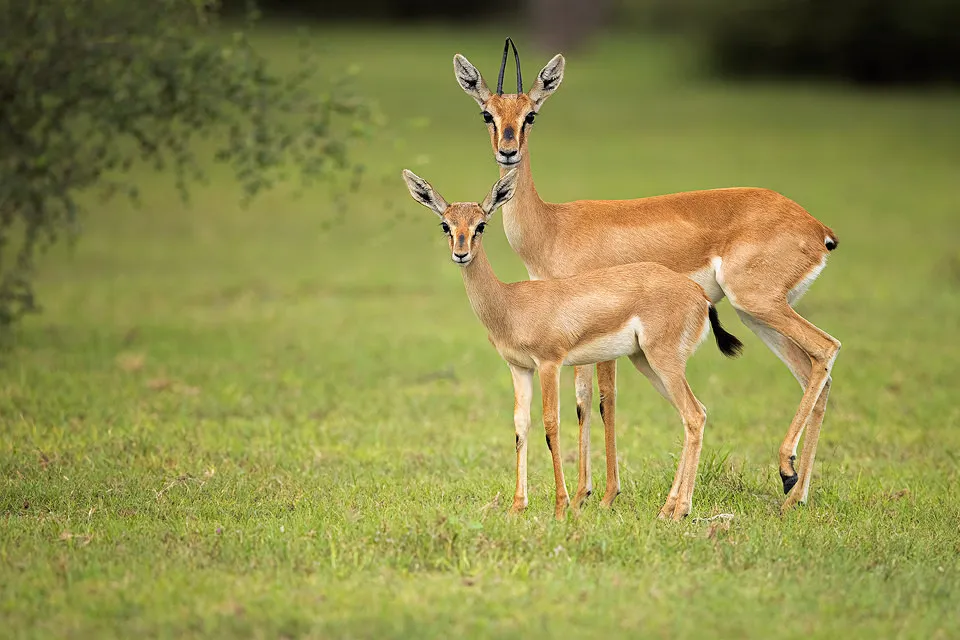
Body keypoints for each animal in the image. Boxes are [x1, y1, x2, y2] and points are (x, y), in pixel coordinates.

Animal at [402, 167, 744, 520]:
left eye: (480, 225)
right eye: (446, 224)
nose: (461, 253)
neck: (511, 302)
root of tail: (698, 295)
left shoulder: (549, 364)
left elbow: (551, 424)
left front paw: (561, 506)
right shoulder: (519, 368)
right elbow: (521, 426)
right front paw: (517, 506)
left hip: (664, 361)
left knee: (693, 415)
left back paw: (678, 511)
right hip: (647, 363)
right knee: (695, 414)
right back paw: (668, 509)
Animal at [451, 39, 841, 515]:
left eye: (531, 114)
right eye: (487, 113)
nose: (508, 151)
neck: (553, 227)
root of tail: (817, 229)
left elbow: (600, 402)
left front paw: (598, 497)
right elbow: (583, 402)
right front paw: (582, 495)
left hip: (756, 303)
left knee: (826, 349)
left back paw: (781, 471)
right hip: (757, 315)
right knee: (814, 373)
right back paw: (794, 494)